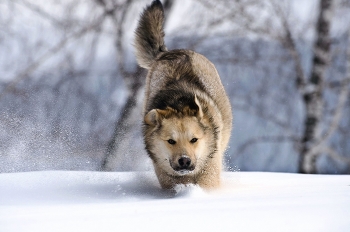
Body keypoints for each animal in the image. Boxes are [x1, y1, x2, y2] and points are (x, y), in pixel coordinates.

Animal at [134, 0, 232, 189]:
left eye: (194, 139)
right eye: (171, 141)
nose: (185, 161)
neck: (178, 103)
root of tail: (166, 52)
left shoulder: (210, 167)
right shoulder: (165, 174)